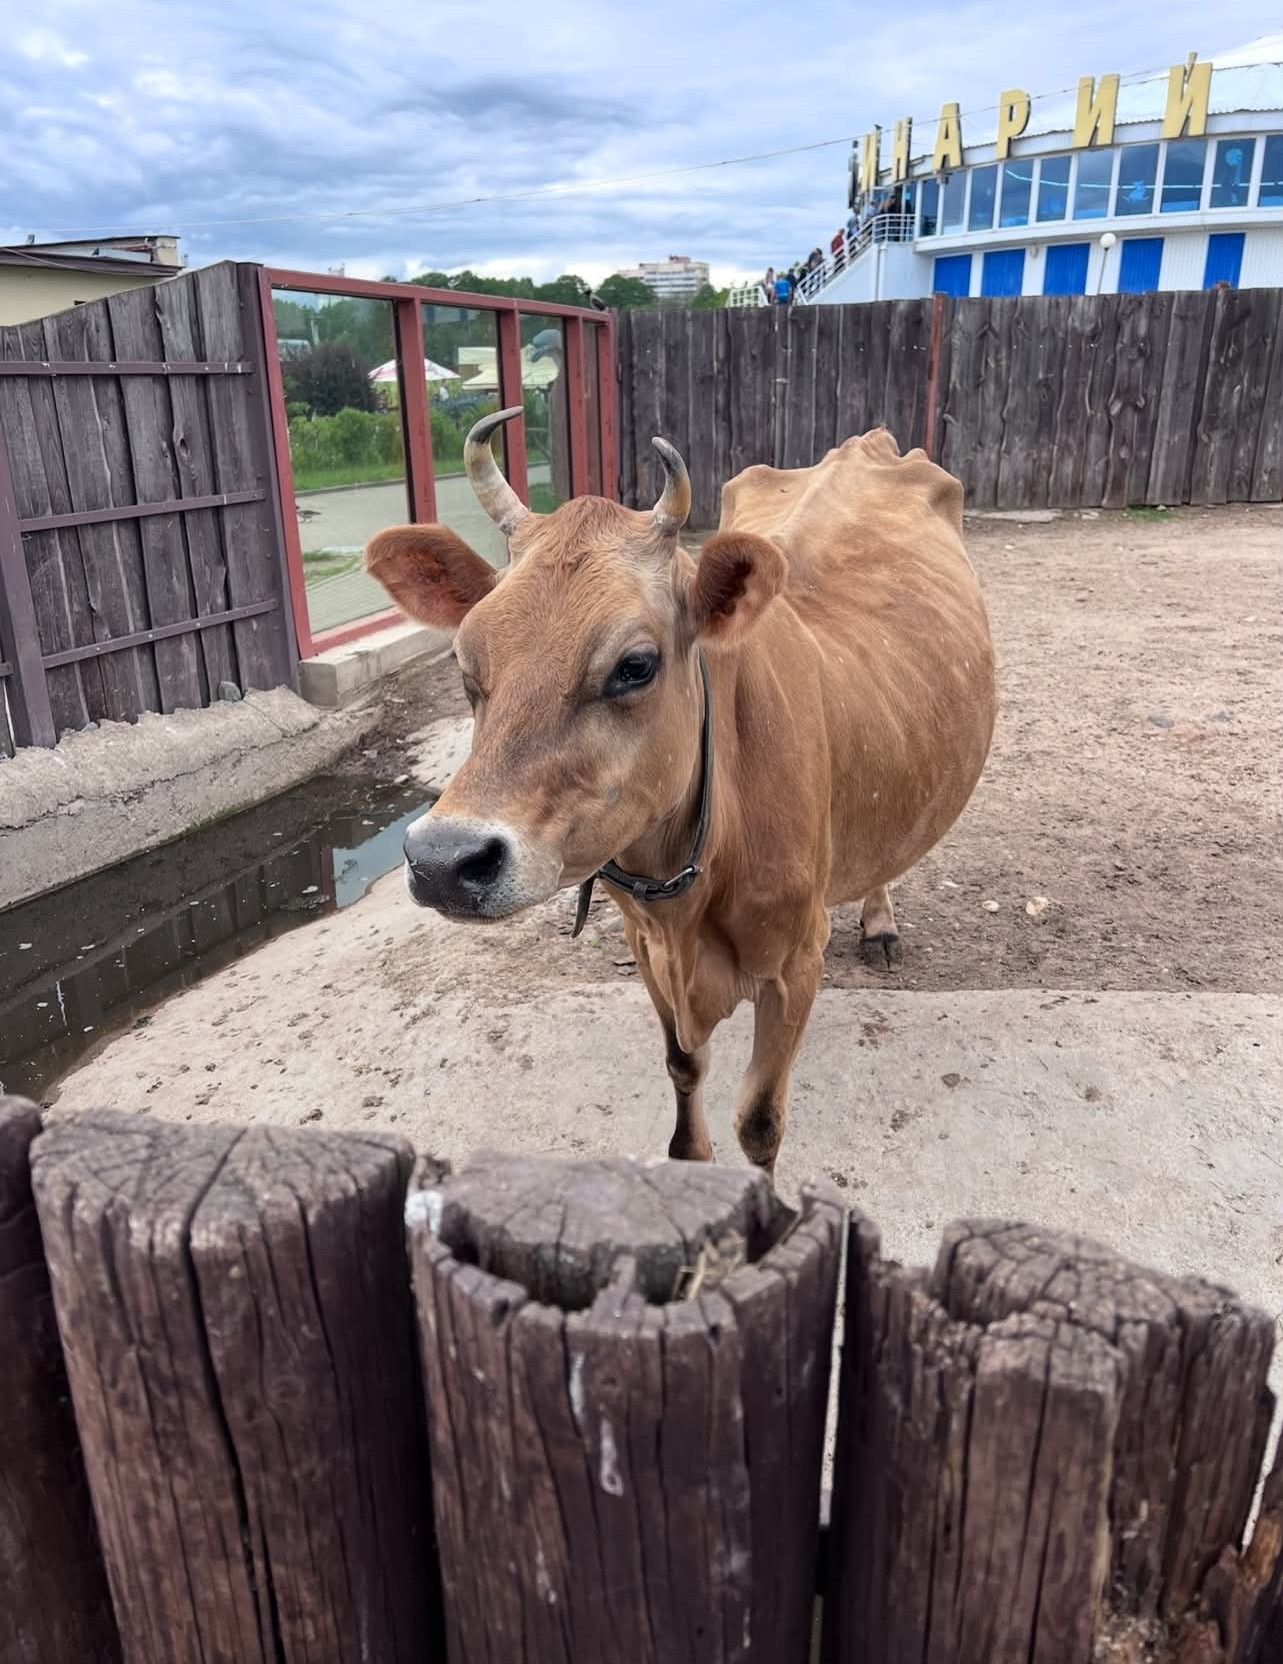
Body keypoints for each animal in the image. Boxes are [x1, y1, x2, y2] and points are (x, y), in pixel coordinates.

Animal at [364, 411, 996, 1179]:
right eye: (465, 661)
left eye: (635, 665)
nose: (443, 861)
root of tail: (864, 444)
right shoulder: (646, 948)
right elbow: (683, 1070)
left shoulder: (797, 960)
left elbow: (759, 1122)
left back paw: (879, 922)